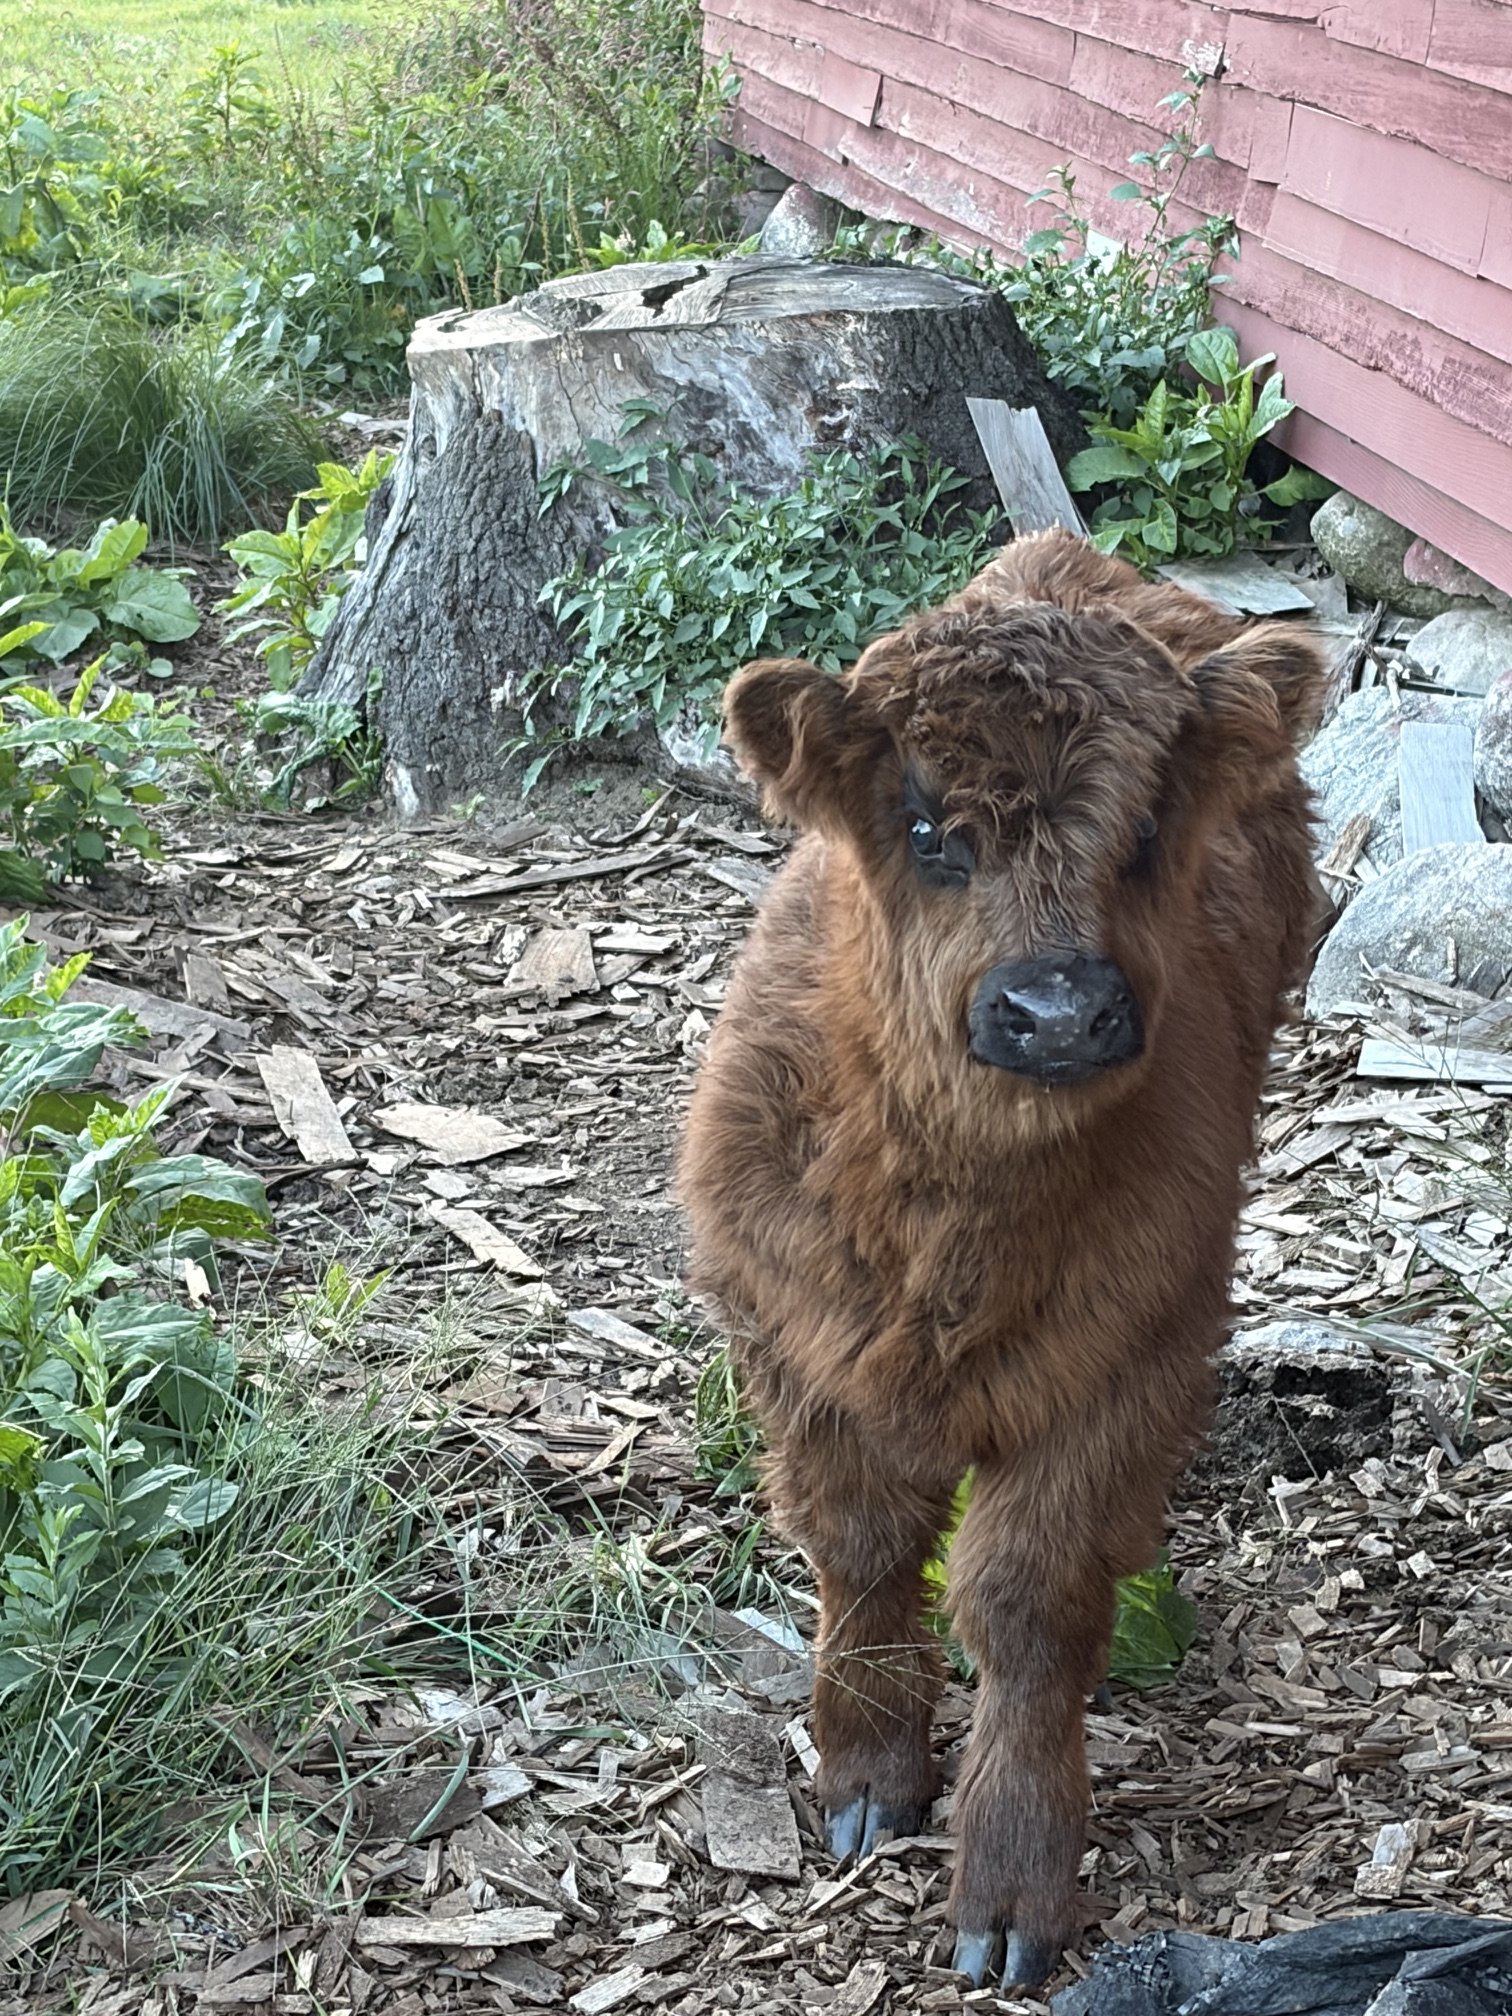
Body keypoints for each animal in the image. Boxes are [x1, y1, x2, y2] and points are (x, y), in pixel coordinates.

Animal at [678, 526, 1323, 1990]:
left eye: (1147, 831)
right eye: (928, 830)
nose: (1060, 1009)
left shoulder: (1132, 1366)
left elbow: (1026, 1608)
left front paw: (1011, 1886)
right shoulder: (786, 1341)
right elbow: (861, 1549)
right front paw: (865, 1776)